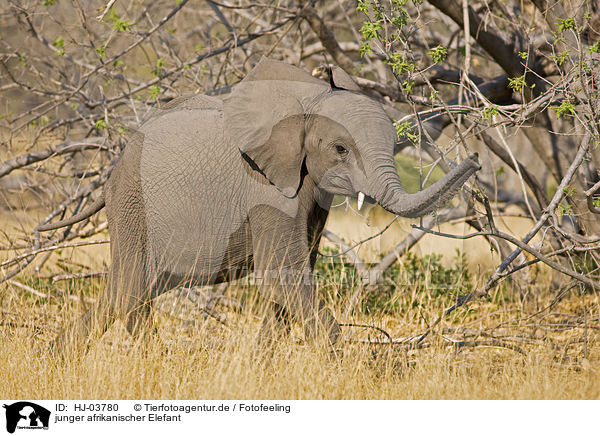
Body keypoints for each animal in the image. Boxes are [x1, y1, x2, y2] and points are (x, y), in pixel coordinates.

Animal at [36, 56, 478, 352]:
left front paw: (262, 366)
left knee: (121, 290)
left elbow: (291, 279)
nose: (474, 158)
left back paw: (58, 358)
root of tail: (116, 164)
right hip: (134, 203)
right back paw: (153, 362)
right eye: (340, 149)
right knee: (132, 289)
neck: (305, 103)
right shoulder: (266, 190)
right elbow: (284, 274)